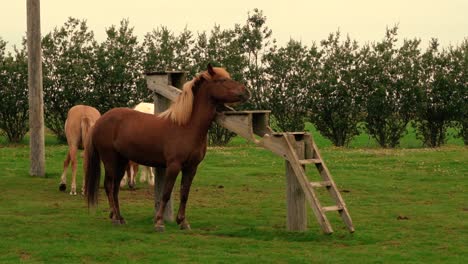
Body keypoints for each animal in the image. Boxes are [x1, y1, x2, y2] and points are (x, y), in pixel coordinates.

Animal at [86, 65, 250, 232]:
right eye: (222, 80)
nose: (246, 91)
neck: (186, 126)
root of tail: (100, 120)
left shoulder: (191, 168)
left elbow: (184, 193)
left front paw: (183, 222)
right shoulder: (173, 165)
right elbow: (166, 193)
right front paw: (159, 222)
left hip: (121, 161)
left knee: (115, 188)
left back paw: (120, 217)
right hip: (110, 160)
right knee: (109, 186)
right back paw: (114, 218)